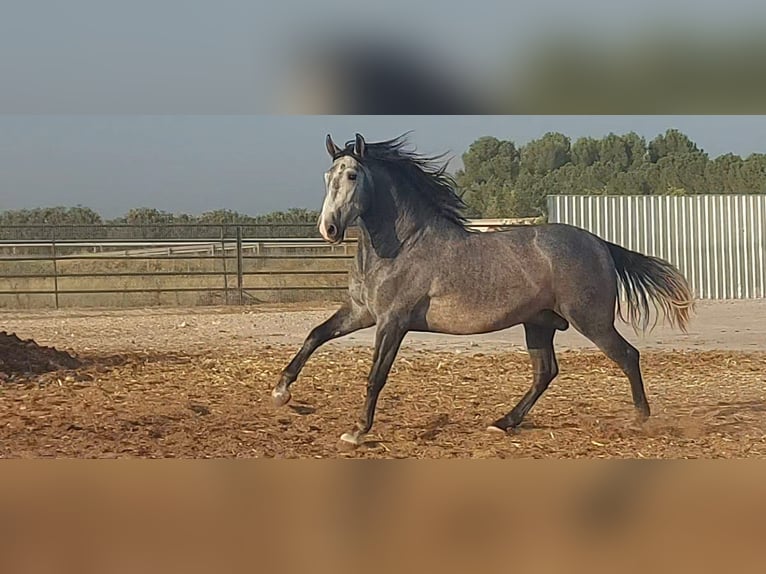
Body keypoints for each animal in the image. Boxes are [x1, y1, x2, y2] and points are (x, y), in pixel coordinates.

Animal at [270, 132, 696, 450]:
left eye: (353, 176)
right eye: (328, 176)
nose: (328, 229)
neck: (403, 245)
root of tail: (600, 244)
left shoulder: (392, 322)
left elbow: (376, 376)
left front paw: (356, 432)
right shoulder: (362, 312)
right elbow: (315, 336)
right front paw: (280, 392)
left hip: (590, 321)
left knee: (627, 355)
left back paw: (640, 419)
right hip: (539, 324)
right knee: (546, 372)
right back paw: (502, 422)